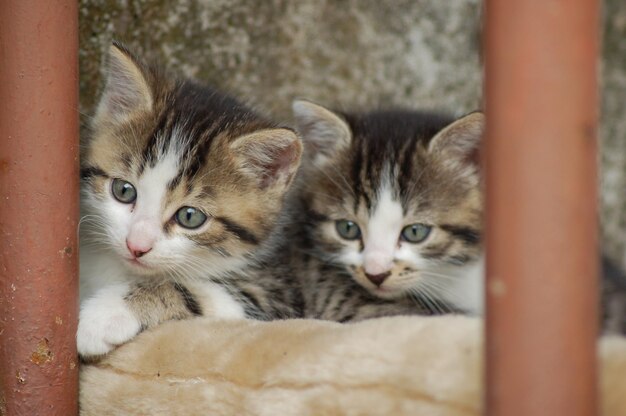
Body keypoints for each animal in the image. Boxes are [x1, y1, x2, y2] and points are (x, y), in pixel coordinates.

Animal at [77, 44, 302, 358]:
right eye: (123, 190)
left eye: (190, 217)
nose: (136, 246)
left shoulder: (274, 298)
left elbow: (187, 287)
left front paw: (103, 316)